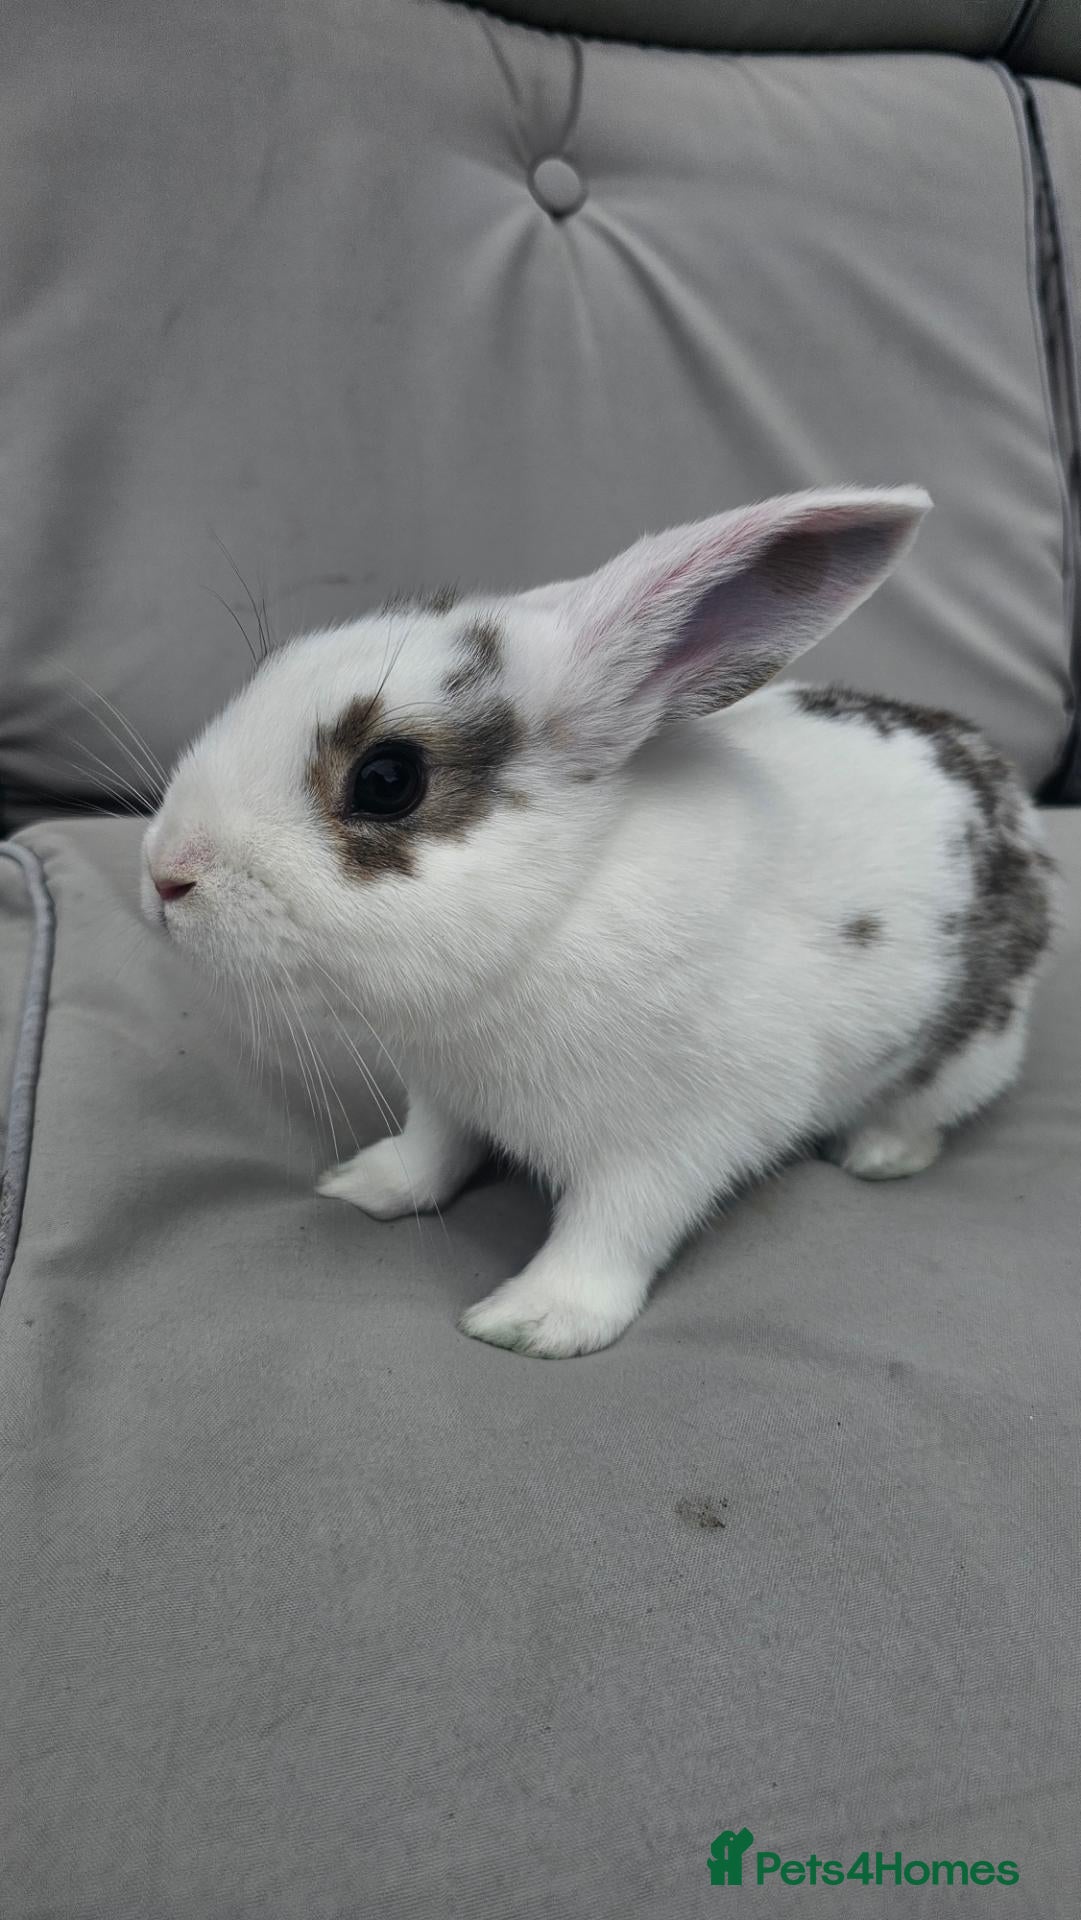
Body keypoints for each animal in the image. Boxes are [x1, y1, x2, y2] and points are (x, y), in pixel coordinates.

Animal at [142, 487, 1058, 1358]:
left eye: (388, 779)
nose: (163, 875)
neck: (558, 909)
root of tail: (1010, 795)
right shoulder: (444, 1096)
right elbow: (432, 1150)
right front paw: (366, 1186)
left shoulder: (678, 1140)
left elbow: (612, 1231)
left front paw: (533, 1323)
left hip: (969, 1054)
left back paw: (879, 1154)